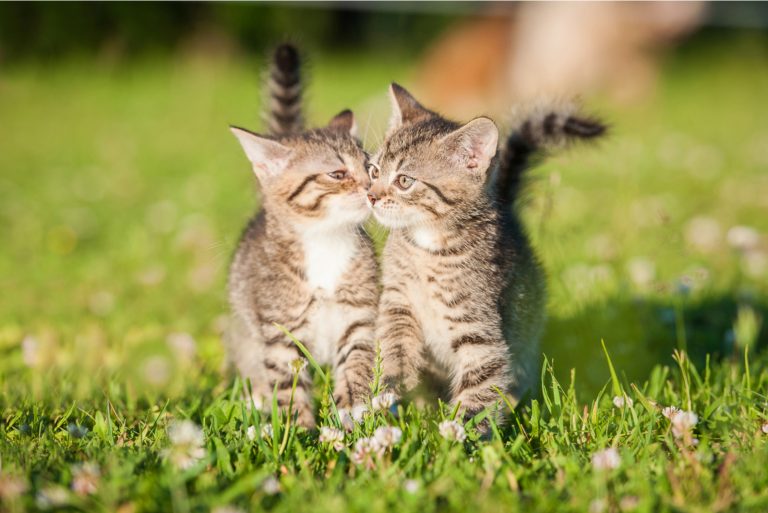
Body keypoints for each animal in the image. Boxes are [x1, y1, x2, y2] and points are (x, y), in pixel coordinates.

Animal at [224, 45, 376, 428]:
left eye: (370, 168)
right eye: (338, 174)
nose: (372, 188)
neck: (325, 240)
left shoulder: (358, 317)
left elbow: (356, 364)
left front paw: (353, 413)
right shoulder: (280, 331)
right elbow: (287, 386)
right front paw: (299, 430)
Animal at [366, 84, 608, 426]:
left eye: (403, 180)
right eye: (374, 170)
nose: (370, 195)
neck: (427, 247)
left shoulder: (480, 328)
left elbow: (481, 384)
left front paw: (458, 434)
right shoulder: (397, 302)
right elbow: (394, 344)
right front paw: (390, 386)